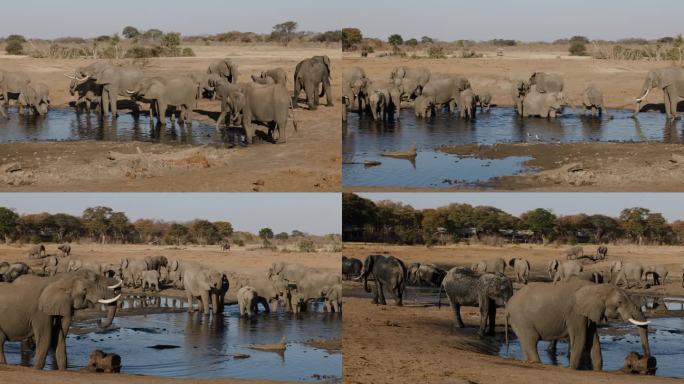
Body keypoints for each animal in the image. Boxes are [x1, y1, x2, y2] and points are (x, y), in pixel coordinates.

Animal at [508, 278, 652, 370]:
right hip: (521, 319)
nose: (648, 359)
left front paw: (598, 370)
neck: (595, 287)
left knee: (526, 343)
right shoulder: (575, 313)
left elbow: (593, 341)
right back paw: (536, 362)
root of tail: (509, 303)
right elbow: (581, 339)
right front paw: (572, 369)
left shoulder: (590, 313)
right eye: (619, 302)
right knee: (531, 341)